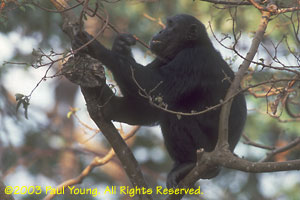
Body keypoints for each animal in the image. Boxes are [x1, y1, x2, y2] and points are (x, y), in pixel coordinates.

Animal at [74, 13, 247, 188]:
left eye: (170, 25)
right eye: (166, 24)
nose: (160, 31)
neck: (188, 46)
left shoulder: (193, 58)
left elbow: (156, 87)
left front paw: (98, 49)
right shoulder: (161, 60)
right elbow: (146, 103)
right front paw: (120, 46)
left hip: (207, 149)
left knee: (176, 114)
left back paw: (188, 164)